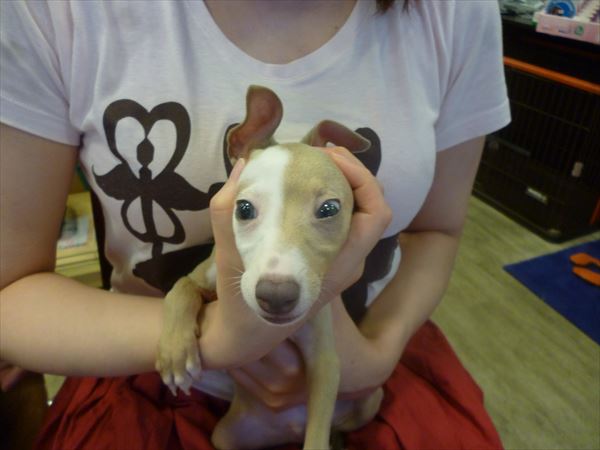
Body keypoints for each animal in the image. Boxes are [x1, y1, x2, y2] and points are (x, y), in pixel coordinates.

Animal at [156, 86, 383, 449]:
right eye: (244, 209)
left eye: (330, 208)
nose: (276, 296)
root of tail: (284, 433)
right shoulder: (207, 275)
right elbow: (181, 288)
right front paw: (176, 351)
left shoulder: (325, 361)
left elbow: (317, 437)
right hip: (225, 435)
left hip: (371, 397)